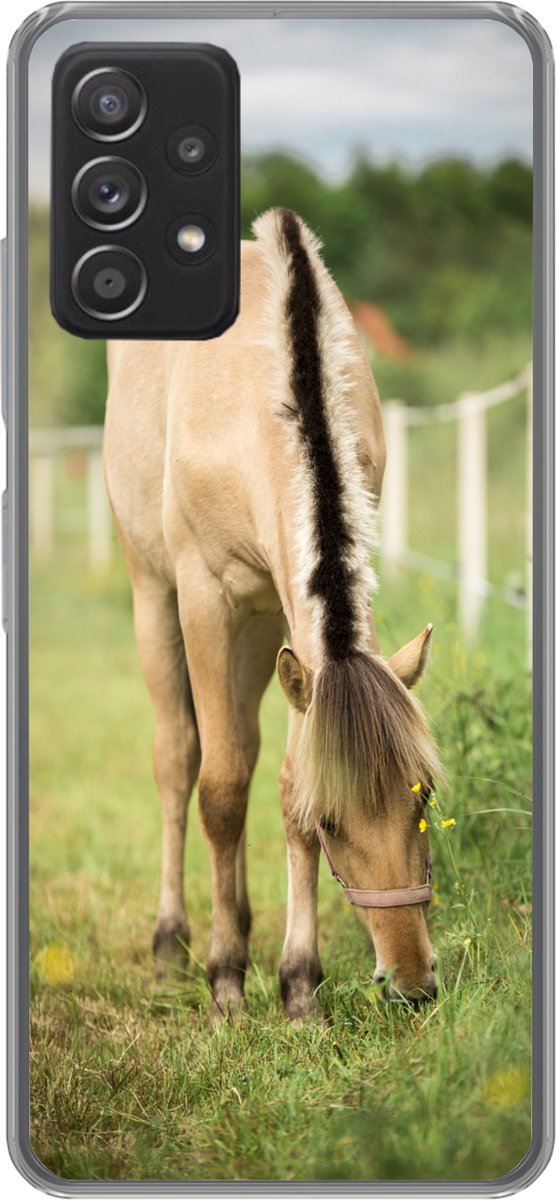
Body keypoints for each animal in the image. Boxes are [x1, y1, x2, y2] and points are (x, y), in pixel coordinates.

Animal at [104, 207, 441, 1021]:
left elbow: (284, 788)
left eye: (422, 795)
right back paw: (173, 944)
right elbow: (220, 790)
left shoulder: (294, 626)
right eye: (336, 823)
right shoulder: (204, 598)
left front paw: (298, 985)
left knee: (245, 747)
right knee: (179, 760)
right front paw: (226, 980)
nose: (412, 983)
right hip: (153, 596)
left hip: (259, 633)